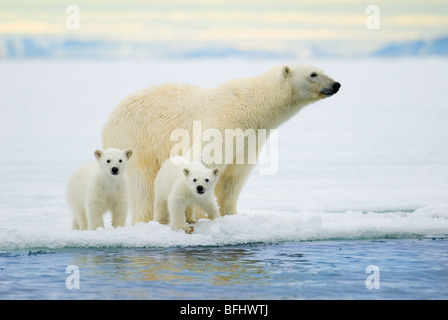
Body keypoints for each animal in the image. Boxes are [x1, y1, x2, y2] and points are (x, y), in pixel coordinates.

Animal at [101, 63, 340, 224]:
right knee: (142, 183)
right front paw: (199, 213)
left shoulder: (250, 139)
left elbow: (234, 177)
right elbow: (204, 157)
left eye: (323, 69)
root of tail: (111, 116)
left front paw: (231, 214)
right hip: (136, 138)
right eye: (313, 74)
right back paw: (146, 218)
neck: (252, 106)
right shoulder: (224, 120)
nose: (336, 84)